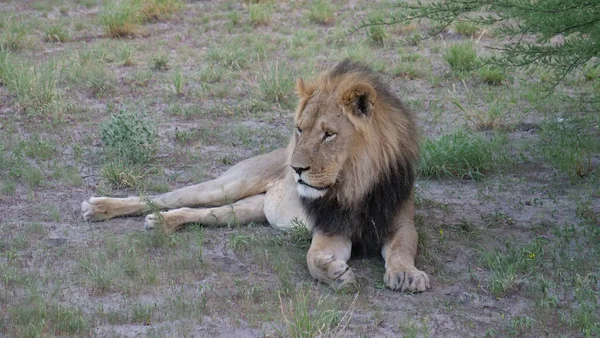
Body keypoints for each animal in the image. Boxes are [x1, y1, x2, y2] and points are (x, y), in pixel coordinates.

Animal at [83, 60, 432, 294]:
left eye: (329, 134)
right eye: (300, 129)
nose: (295, 169)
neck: (355, 183)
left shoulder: (400, 221)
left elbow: (403, 248)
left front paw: (406, 274)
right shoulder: (330, 230)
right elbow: (312, 259)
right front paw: (335, 273)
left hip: (246, 210)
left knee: (204, 214)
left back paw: (162, 222)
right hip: (229, 184)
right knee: (163, 197)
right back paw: (99, 207)